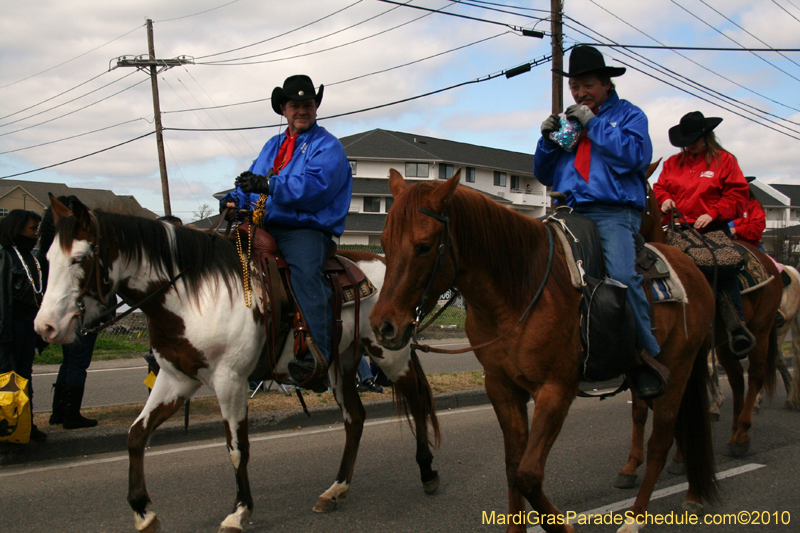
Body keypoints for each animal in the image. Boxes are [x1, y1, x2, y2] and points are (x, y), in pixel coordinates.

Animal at [34, 197, 440, 532]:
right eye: (48, 260)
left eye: (80, 259)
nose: (45, 327)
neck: (192, 294)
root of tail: (385, 263)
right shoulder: (175, 378)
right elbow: (136, 436)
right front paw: (143, 513)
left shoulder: (231, 381)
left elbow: (236, 446)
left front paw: (239, 512)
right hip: (341, 364)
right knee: (355, 419)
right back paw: (335, 490)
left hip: (389, 354)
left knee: (418, 399)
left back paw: (427, 471)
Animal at [372, 169, 716, 532]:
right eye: (385, 243)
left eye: (424, 247)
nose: (384, 326)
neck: (519, 290)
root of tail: (691, 267)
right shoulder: (503, 388)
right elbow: (513, 467)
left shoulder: (555, 390)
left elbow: (528, 474)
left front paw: (563, 526)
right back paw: (689, 491)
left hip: (678, 370)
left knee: (661, 441)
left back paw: (637, 516)